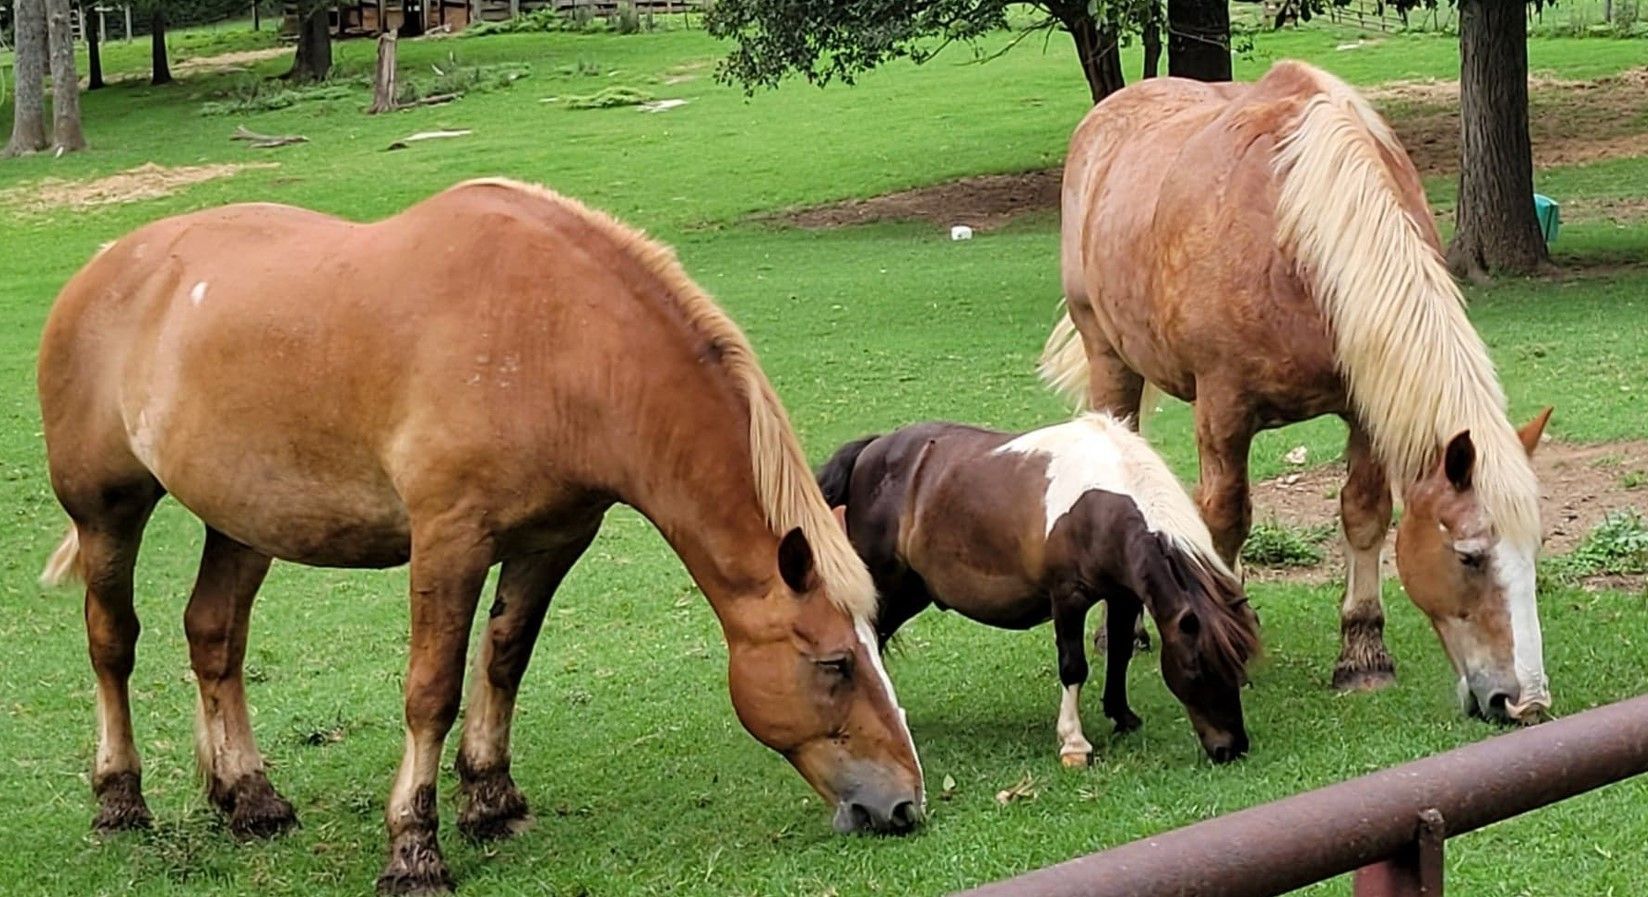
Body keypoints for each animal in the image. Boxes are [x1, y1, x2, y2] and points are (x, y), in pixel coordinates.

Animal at [36, 178, 923, 894]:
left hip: (242, 522)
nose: (905, 803)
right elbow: (431, 691)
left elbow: (505, 660)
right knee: (112, 642)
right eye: (835, 663)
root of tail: (107, 266)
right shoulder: (448, 542)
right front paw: (413, 848)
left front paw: (491, 800)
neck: (555, 340)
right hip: (108, 511)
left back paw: (249, 796)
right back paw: (119, 797)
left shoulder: (551, 541)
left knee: (214, 637)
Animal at [816, 413, 1261, 766]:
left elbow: (1119, 653)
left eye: (1240, 666)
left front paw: (1122, 716)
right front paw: (1074, 743)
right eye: (1197, 667)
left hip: (911, 592)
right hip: (885, 586)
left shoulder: (1123, 596)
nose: (1231, 748)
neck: (1102, 503)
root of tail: (872, 448)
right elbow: (1073, 667)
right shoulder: (1068, 598)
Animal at [1040, 59, 1554, 723]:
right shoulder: (1223, 408)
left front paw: (1362, 655)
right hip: (1109, 358)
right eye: (1469, 556)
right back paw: (1120, 627)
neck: (1296, 234)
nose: (1526, 702)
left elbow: (1364, 513)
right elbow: (1225, 520)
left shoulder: (1366, 404)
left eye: (1534, 549)